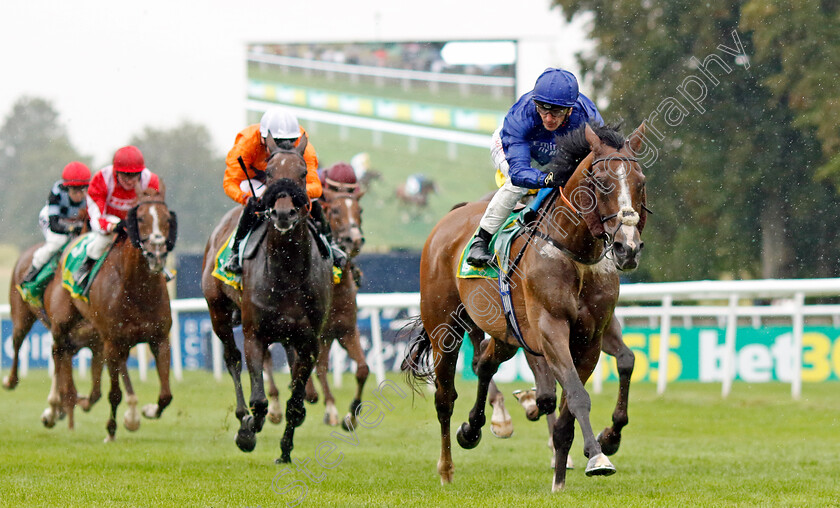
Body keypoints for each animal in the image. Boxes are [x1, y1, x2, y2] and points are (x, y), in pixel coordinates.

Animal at [43, 185, 177, 438]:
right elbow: (114, 393)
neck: (138, 289)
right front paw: (111, 430)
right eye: (141, 218)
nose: (156, 253)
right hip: (62, 322)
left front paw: (147, 411)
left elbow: (166, 395)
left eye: (167, 219)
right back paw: (56, 406)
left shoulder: (160, 338)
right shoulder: (113, 342)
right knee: (58, 351)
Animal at [202, 136, 334, 464]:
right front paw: (248, 430)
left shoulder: (309, 341)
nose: (284, 213)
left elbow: (296, 401)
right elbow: (259, 399)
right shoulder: (254, 334)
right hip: (217, 311)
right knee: (232, 359)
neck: (287, 272)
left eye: (303, 172)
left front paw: (285, 451)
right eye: (271, 172)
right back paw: (242, 416)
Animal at [406, 123, 648, 492]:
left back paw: (475, 428)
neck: (574, 251)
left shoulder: (591, 336)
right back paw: (447, 468)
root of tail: (449, 219)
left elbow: (582, 394)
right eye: (602, 181)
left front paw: (566, 472)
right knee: (445, 397)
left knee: (484, 363)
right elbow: (575, 394)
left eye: (640, 181)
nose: (628, 248)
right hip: (444, 328)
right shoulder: (549, 329)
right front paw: (597, 457)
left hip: (505, 333)